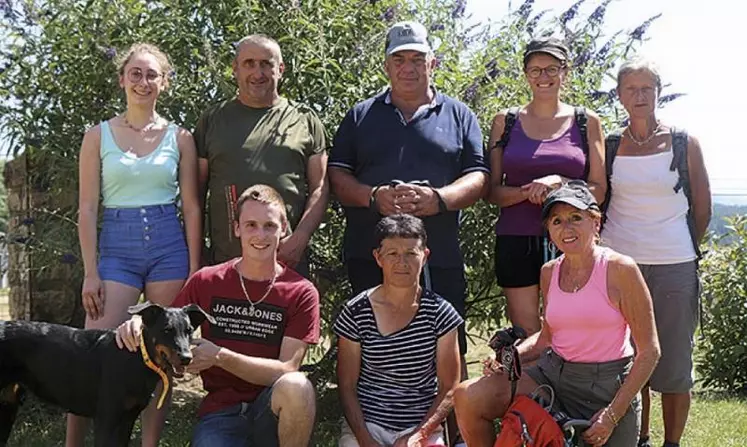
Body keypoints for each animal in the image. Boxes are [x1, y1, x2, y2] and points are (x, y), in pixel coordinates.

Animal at [0, 302, 215, 446]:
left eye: (189, 330)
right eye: (167, 330)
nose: (186, 358)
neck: (138, 358)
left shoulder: (128, 419)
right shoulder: (106, 420)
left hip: (8, 406)